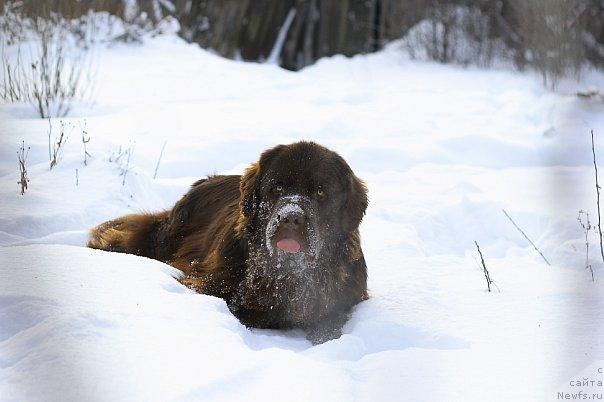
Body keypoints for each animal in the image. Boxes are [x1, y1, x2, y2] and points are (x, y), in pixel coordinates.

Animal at [86, 141, 368, 342]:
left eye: (320, 192)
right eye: (277, 188)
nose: (291, 217)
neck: (286, 274)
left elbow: (330, 320)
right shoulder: (207, 282)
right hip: (166, 235)